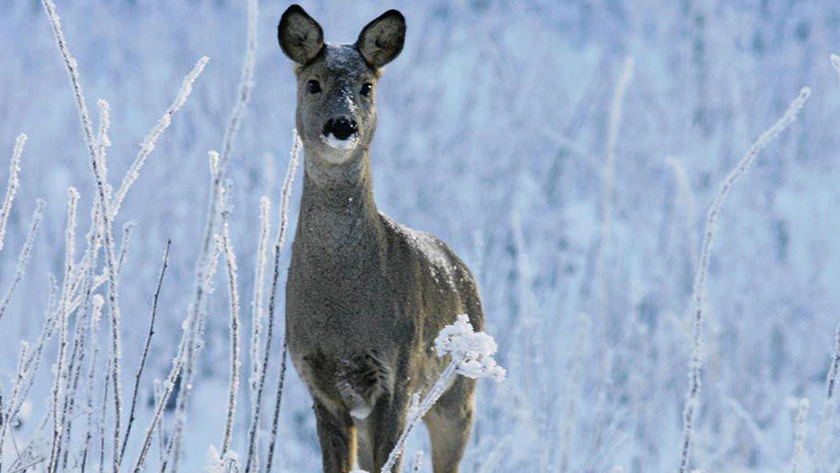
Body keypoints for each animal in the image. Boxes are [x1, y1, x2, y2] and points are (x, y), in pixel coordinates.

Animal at [278, 4, 482, 472]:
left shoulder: (397, 373)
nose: (342, 124)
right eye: (313, 83)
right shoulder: (319, 384)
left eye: (366, 86)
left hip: (458, 391)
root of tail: (460, 266)